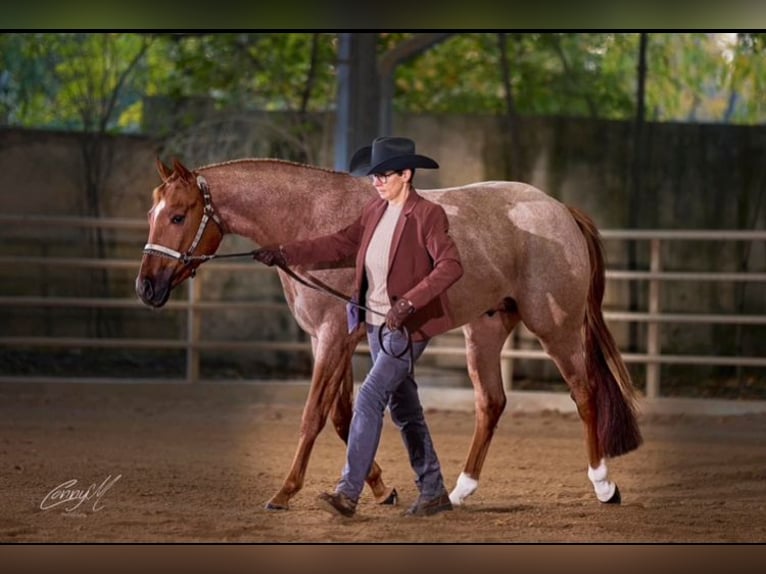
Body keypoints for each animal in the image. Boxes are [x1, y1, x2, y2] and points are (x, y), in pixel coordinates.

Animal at [135, 157, 643, 510]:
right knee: (491, 403)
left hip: (556, 327)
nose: (146, 287)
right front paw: (380, 489)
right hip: (485, 330)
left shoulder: (332, 337)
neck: (311, 217)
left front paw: (285, 492)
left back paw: (604, 485)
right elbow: (343, 417)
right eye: (151, 213)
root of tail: (559, 211)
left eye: (178, 215)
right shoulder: (333, 340)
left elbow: (314, 416)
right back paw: (459, 492)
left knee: (585, 393)